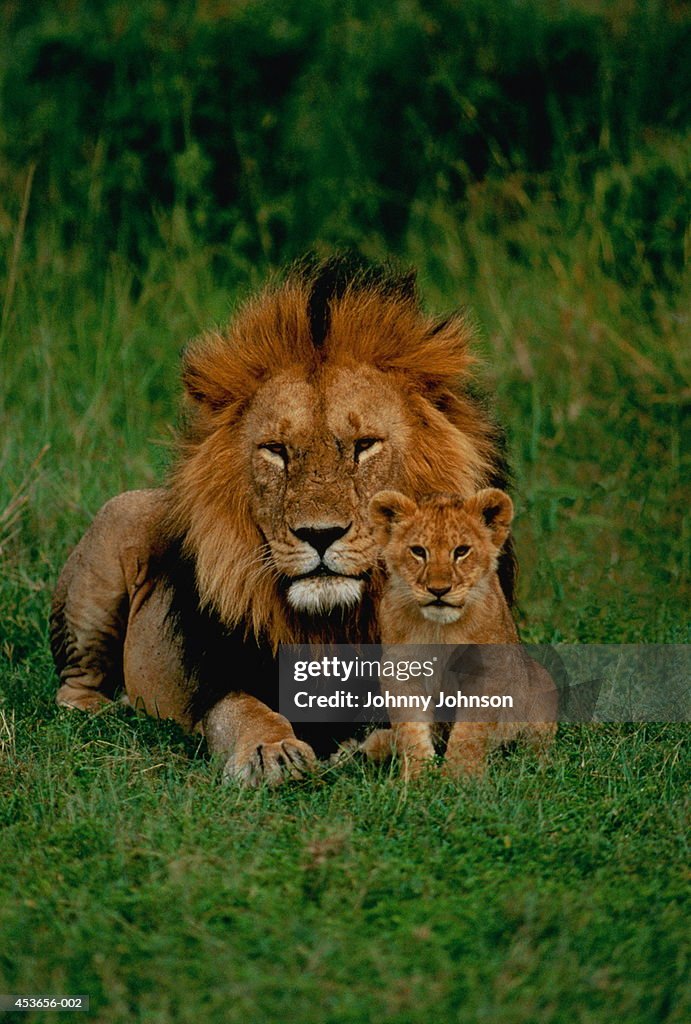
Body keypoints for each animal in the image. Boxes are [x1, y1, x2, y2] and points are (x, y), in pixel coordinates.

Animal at [51, 253, 515, 782]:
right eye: (276, 450)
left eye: (364, 446)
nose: (320, 534)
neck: (333, 625)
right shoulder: (223, 678)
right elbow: (245, 711)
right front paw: (270, 752)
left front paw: (372, 747)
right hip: (111, 537)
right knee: (74, 685)